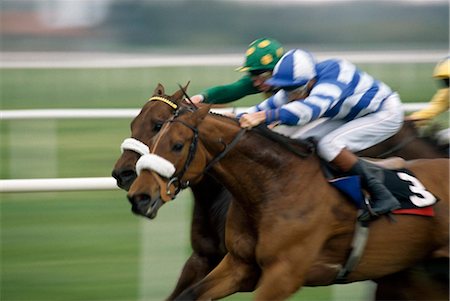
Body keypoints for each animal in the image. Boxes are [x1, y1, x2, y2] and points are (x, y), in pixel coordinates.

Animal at [111, 83, 446, 298]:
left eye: (161, 128)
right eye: (134, 122)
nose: (126, 178)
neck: (273, 185)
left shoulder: (281, 274)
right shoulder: (221, 261)